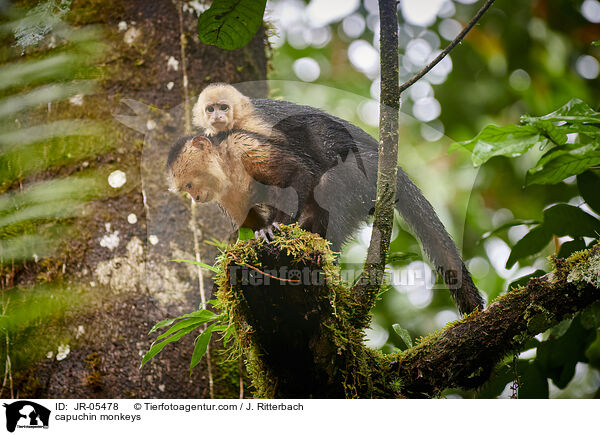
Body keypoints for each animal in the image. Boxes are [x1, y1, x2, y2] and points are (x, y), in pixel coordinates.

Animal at [168, 83, 482, 316]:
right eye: (187, 188)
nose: (196, 196)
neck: (226, 164)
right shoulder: (225, 191)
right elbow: (249, 219)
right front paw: (253, 237)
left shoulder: (243, 142)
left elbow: (298, 172)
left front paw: (274, 229)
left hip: (363, 174)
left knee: (328, 177)